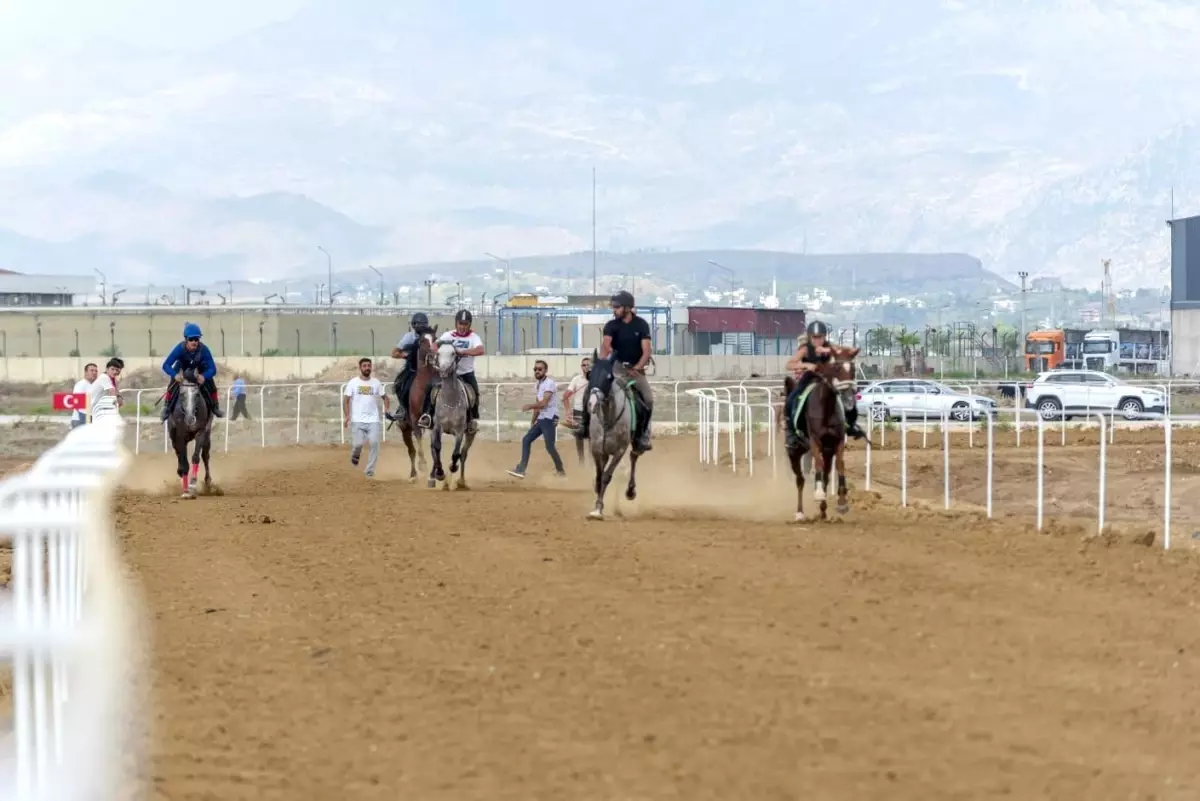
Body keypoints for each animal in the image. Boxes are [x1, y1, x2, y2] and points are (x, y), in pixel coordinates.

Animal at [388, 326, 436, 482]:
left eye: (435, 339)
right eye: (422, 341)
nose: (433, 355)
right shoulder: (415, 421)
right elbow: (419, 445)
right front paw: (423, 465)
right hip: (405, 429)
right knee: (412, 450)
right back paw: (413, 474)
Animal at [424, 340, 475, 491]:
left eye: (453, 353)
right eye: (438, 353)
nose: (443, 371)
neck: (450, 400)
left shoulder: (459, 431)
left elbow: (456, 453)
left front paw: (452, 467)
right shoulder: (437, 428)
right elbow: (437, 448)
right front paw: (440, 473)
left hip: (470, 433)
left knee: (463, 454)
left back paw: (461, 481)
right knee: (433, 450)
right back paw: (433, 476)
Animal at [585, 352, 643, 520]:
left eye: (609, 377)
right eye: (590, 374)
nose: (592, 404)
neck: (608, 419)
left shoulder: (619, 451)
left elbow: (606, 476)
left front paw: (598, 508)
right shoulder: (597, 450)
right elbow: (599, 477)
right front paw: (597, 505)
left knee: (633, 457)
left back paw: (630, 491)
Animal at [782, 345, 859, 522]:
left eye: (853, 369)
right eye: (836, 368)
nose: (849, 401)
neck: (826, 408)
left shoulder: (837, 443)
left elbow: (839, 466)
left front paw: (842, 502)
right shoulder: (815, 441)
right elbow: (817, 464)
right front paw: (818, 493)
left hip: (824, 451)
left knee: (825, 475)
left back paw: (823, 511)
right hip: (794, 452)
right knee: (800, 479)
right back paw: (800, 512)